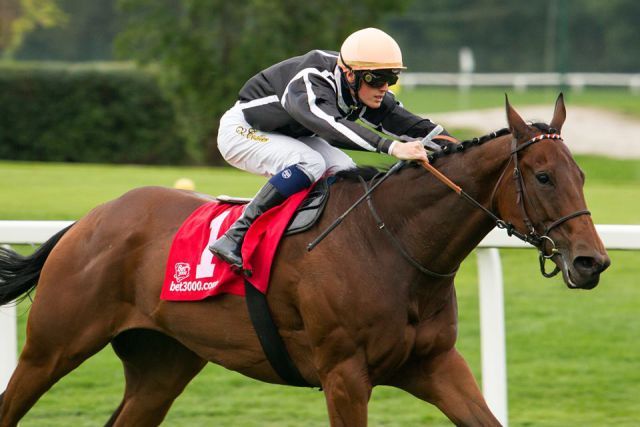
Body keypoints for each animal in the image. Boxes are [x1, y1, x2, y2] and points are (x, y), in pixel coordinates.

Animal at [0, 95, 608, 426]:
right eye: (543, 176)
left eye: (581, 174)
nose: (591, 263)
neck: (393, 243)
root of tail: (88, 221)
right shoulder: (344, 376)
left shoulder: (435, 365)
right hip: (51, 348)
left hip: (161, 365)